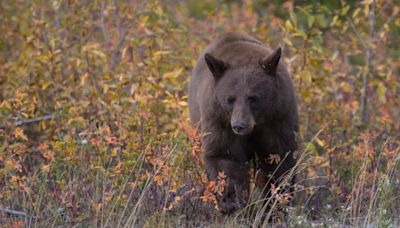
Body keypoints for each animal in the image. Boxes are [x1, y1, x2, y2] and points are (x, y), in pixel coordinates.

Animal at [189, 32, 298, 214]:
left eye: (253, 98)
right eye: (230, 99)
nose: (239, 125)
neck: (255, 126)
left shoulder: (279, 117)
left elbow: (280, 158)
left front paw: (278, 202)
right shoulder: (219, 119)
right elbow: (224, 156)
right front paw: (231, 202)